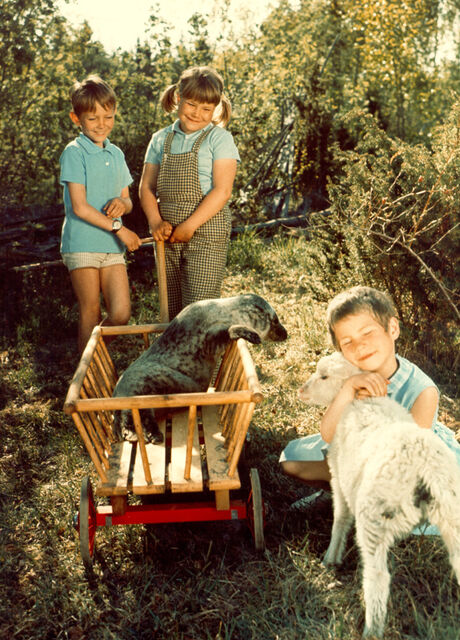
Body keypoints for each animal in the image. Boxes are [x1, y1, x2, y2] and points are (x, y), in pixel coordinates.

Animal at [112, 294, 288, 440]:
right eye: (275, 320)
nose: (286, 333)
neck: (226, 313)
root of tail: (116, 395)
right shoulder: (210, 338)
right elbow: (228, 330)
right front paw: (251, 335)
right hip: (141, 389)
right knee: (135, 415)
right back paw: (150, 435)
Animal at [298, 352, 460, 636]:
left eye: (324, 376)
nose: (301, 391)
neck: (359, 401)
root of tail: (425, 467)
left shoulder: (339, 474)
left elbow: (340, 518)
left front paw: (331, 558)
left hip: (375, 516)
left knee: (378, 576)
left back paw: (371, 629)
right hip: (452, 511)